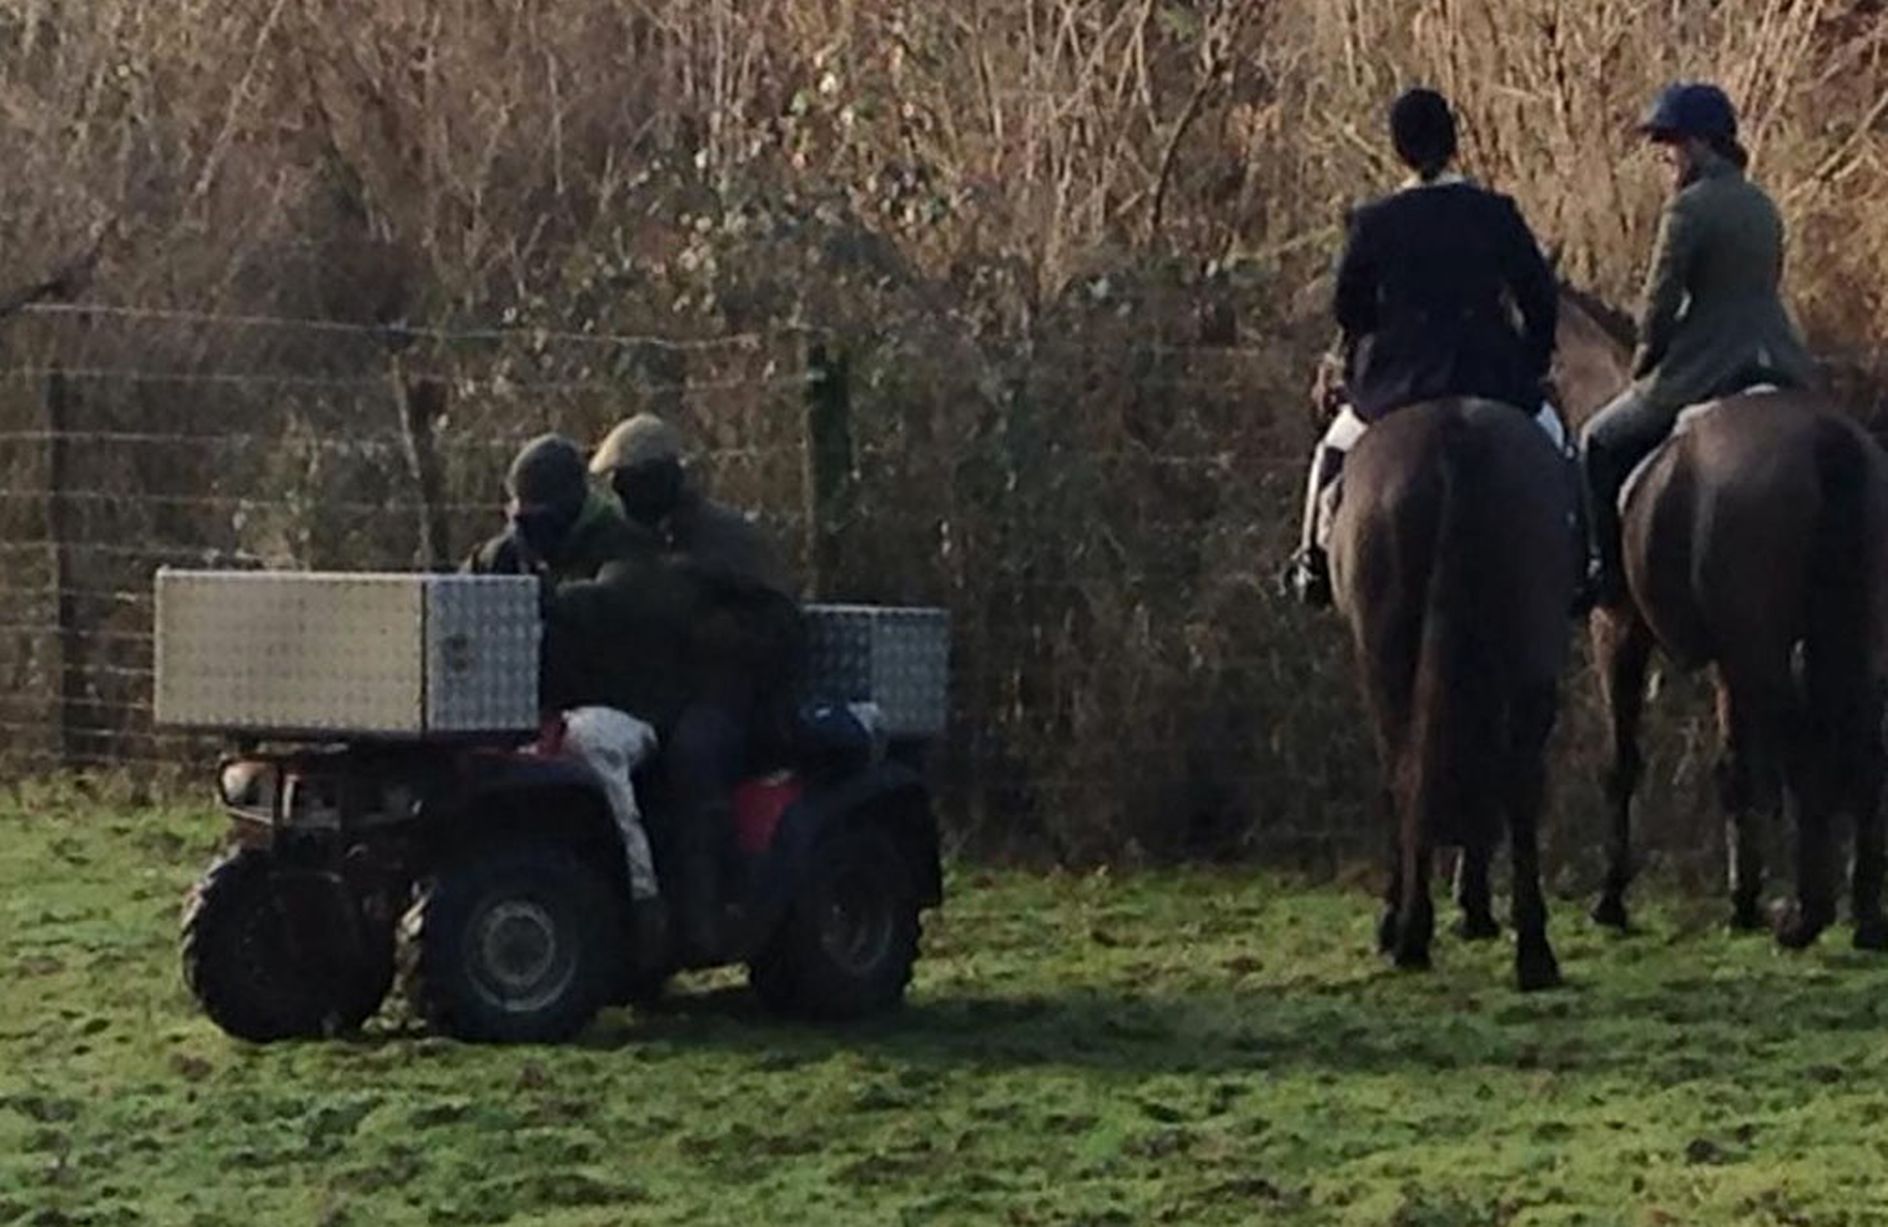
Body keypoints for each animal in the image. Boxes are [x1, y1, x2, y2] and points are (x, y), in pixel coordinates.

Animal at [1329, 396, 1578, 989]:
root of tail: (1455, 434)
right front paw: (1474, 907)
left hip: (1391, 655)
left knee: (1410, 771)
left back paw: (1411, 932)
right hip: (1524, 656)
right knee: (1511, 781)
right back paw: (1532, 951)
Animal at [1548, 288, 1888, 947]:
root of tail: (1826, 441)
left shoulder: (1618, 629)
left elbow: (1622, 763)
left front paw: (1611, 899)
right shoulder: (1727, 664)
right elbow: (1733, 769)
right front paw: (1742, 900)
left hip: (1765, 648)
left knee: (1804, 751)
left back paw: (1807, 916)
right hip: (1845, 638)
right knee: (1861, 751)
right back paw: (1862, 918)